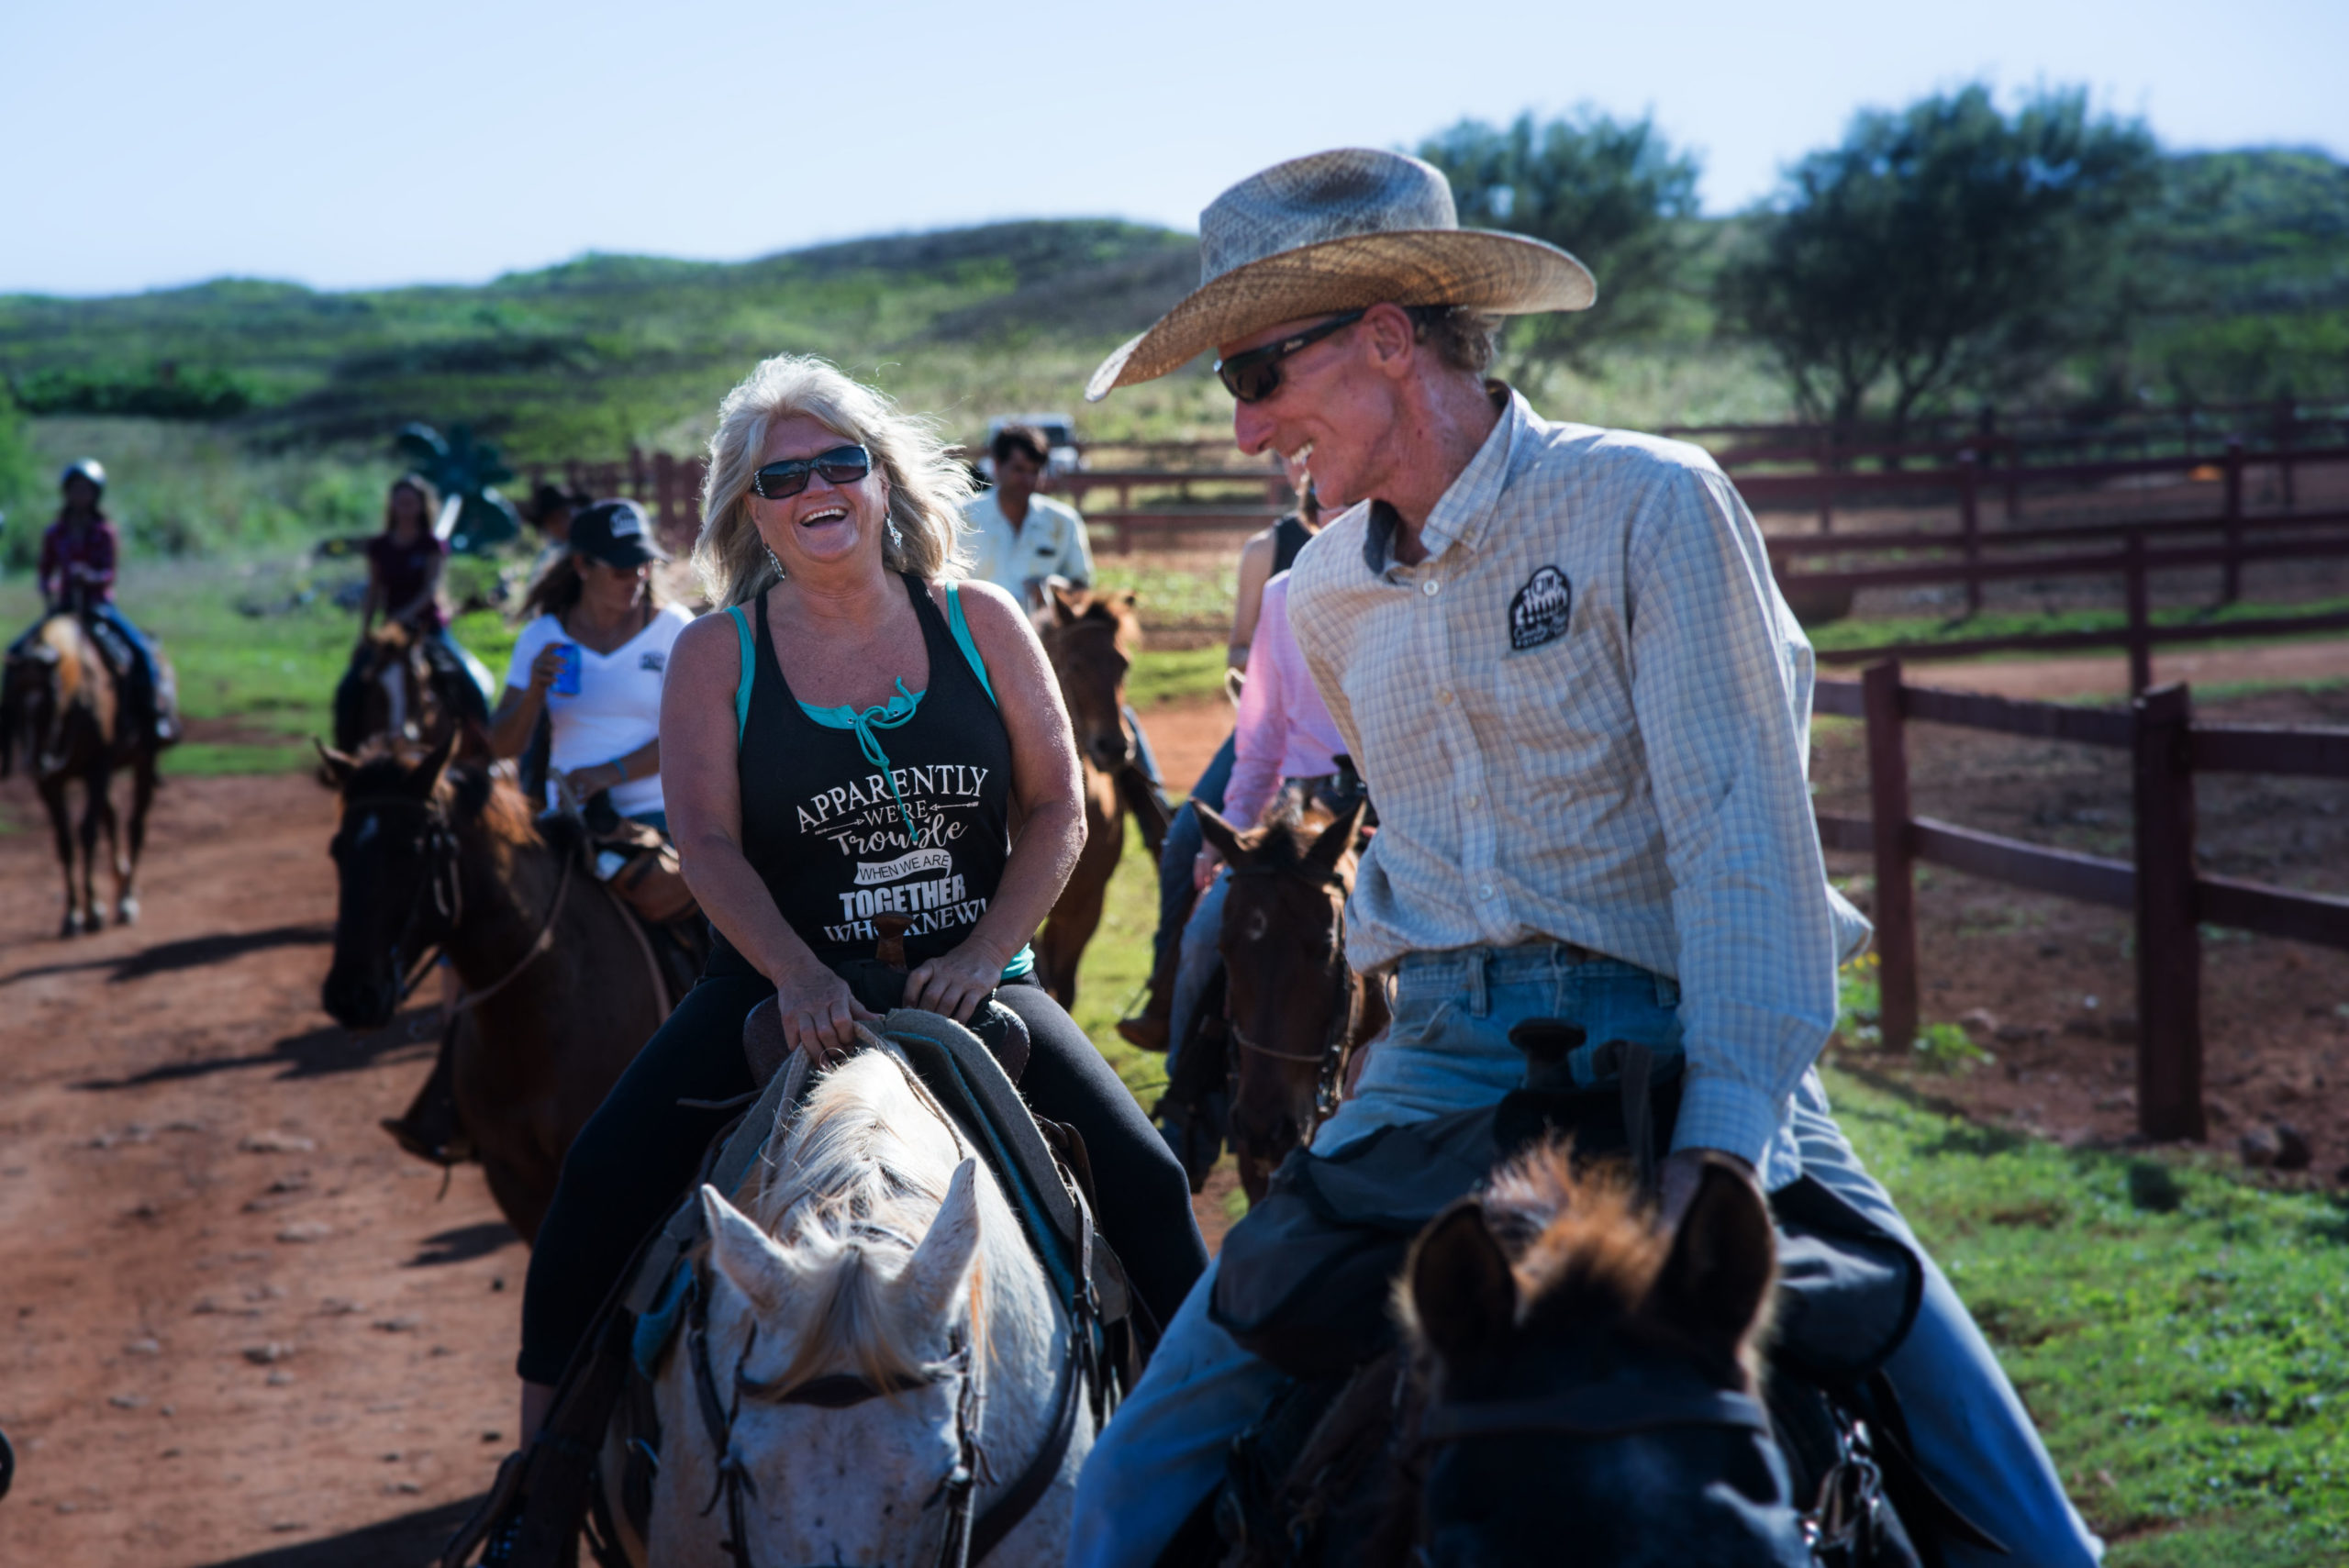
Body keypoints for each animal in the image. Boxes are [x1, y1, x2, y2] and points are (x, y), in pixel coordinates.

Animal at [1, 610, 171, 929]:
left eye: (53, 696)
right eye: (12, 698)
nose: (35, 763)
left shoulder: (98, 767)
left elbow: (88, 832)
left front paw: (94, 909)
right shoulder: (50, 783)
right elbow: (65, 840)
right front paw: (72, 913)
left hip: (143, 761)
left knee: (135, 825)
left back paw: (127, 899)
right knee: (113, 818)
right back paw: (119, 881)